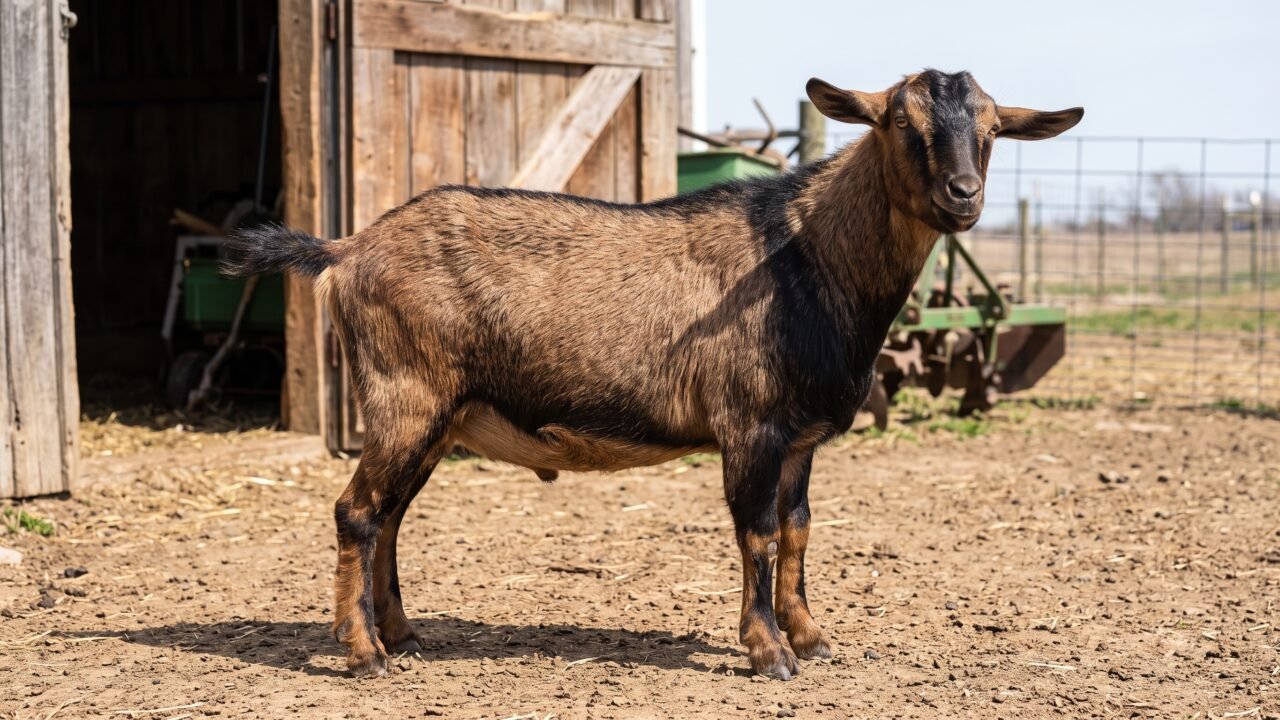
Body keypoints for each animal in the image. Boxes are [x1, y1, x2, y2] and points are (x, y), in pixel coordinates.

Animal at [226, 69, 1082, 680]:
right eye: (902, 125)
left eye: (993, 130)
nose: (964, 197)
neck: (807, 259)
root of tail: (345, 250)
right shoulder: (750, 425)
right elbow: (758, 533)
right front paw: (769, 653)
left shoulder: (801, 438)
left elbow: (799, 530)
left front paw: (811, 636)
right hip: (404, 396)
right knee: (357, 513)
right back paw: (364, 653)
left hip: (436, 417)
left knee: (391, 517)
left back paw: (404, 637)